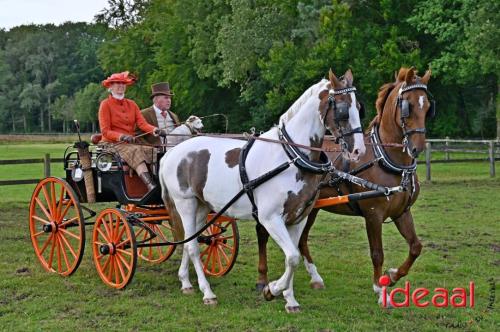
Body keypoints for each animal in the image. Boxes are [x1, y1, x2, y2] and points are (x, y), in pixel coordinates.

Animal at [158, 68, 366, 312]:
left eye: (359, 107)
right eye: (342, 108)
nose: (358, 150)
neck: (291, 156)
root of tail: (172, 152)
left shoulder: (298, 218)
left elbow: (292, 256)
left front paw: (290, 300)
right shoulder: (270, 218)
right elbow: (293, 256)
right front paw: (272, 289)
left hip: (202, 207)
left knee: (189, 241)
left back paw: (186, 282)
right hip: (186, 204)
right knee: (192, 247)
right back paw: (207, 292)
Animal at [258, 67, 434, 306]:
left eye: (428, 107)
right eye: (407, 106)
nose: (417, 148)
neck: (385, 159)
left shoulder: (402, 212)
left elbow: (416, 247)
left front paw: (392, 275)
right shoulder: (373, 214)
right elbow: (377, 253)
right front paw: (380, 289)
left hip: (311, 208)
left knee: (301, 240)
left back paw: (315, 278)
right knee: (264, 233)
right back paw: (262, 280)